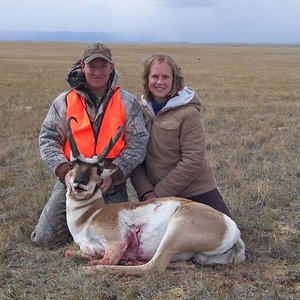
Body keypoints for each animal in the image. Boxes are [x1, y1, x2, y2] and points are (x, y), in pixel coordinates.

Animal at [64, 116, 245, 274]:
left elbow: (105, 259)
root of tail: (232, 229)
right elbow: (71, 252)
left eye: (99, 169)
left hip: (175, 230)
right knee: (185, 264)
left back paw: (94, 268)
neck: (91, 215)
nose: (80, 182)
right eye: (72, 164)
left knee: (152, 267)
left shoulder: (115, 243)